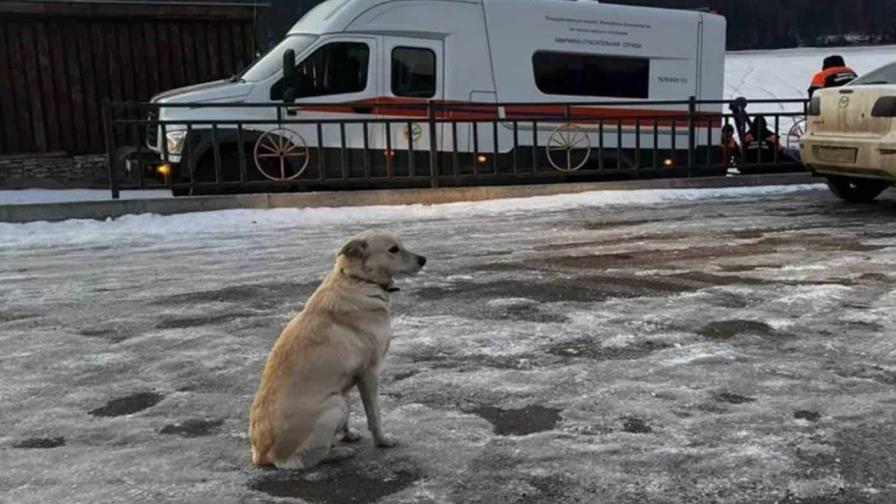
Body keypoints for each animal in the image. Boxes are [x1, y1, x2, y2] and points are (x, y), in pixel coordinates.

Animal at [247, 228, 426, 468]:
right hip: (334, 405)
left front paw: (347, 435)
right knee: (300, 460)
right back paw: (338, 453)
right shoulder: (369, 372)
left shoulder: (348, 379)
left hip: (339, 398)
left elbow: (351, 417)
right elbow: (374, 414)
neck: (359, 280)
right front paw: (381, 440)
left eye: (401, 245)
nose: (423, 259)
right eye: (393, 249)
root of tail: (262, 455)